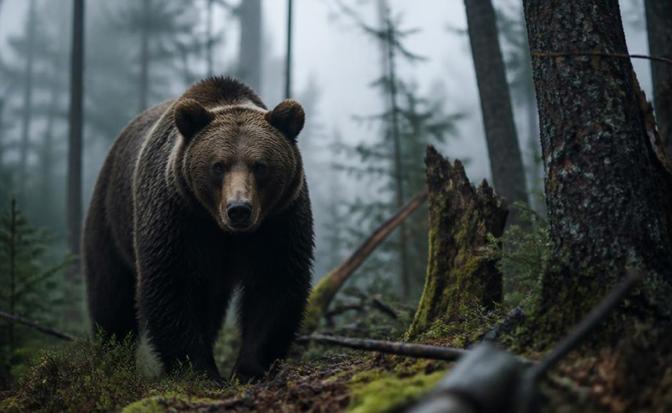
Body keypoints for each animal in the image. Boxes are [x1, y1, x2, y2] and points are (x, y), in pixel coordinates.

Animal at [82, 76, 313, 382]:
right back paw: (111, 358)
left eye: (260, 165)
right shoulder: (178, 217)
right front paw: (200, 370)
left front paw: (250, 369)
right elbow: (170, 284)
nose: (239, 209)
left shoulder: (279, 219)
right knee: (111, 297)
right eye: (218, 165)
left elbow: (275, 285)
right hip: (111, 218)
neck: (223, 231)